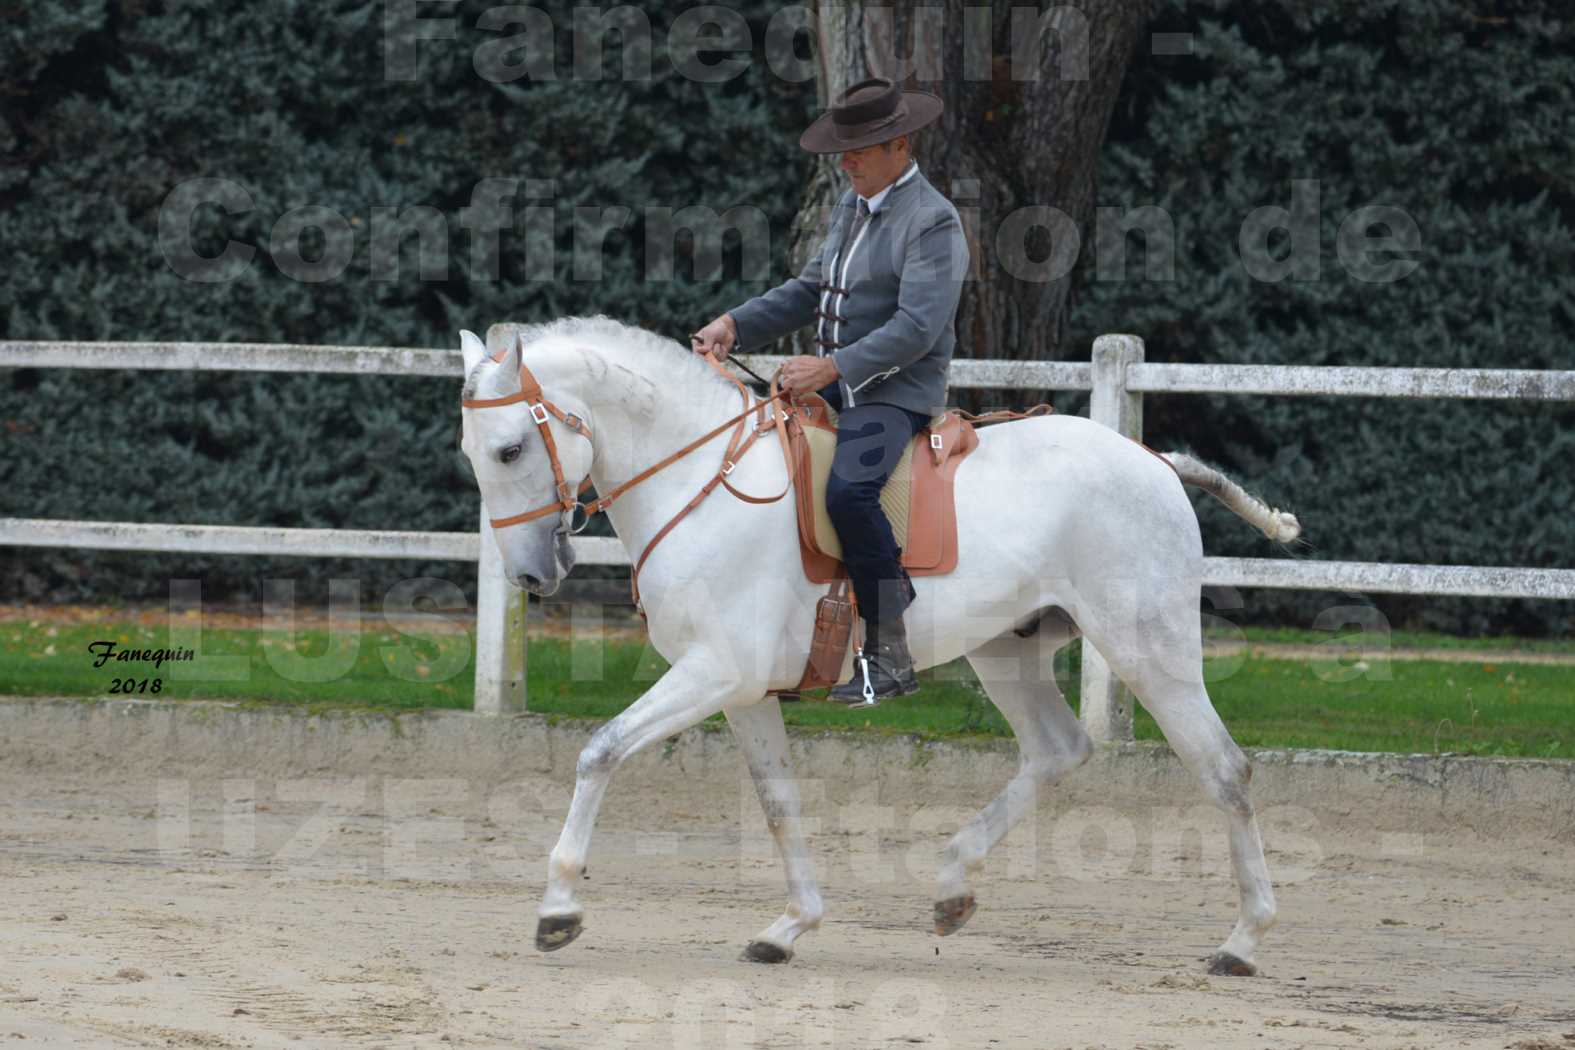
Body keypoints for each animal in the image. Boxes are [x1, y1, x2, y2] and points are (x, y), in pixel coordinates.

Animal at [456, 317, 1304, 976]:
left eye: (509, 451)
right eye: (474, 456)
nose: (530, 575)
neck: (703, 481)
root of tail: (1152, 460)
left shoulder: (711, 673)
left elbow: (599, 751)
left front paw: (558, 907)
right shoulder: (740, 690)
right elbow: (778, 802)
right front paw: (789, 927)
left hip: (1148, 647)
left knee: (1224, 770)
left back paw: (1243, 942)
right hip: (1007, 651)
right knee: (1058, 749)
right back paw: (952, 886)